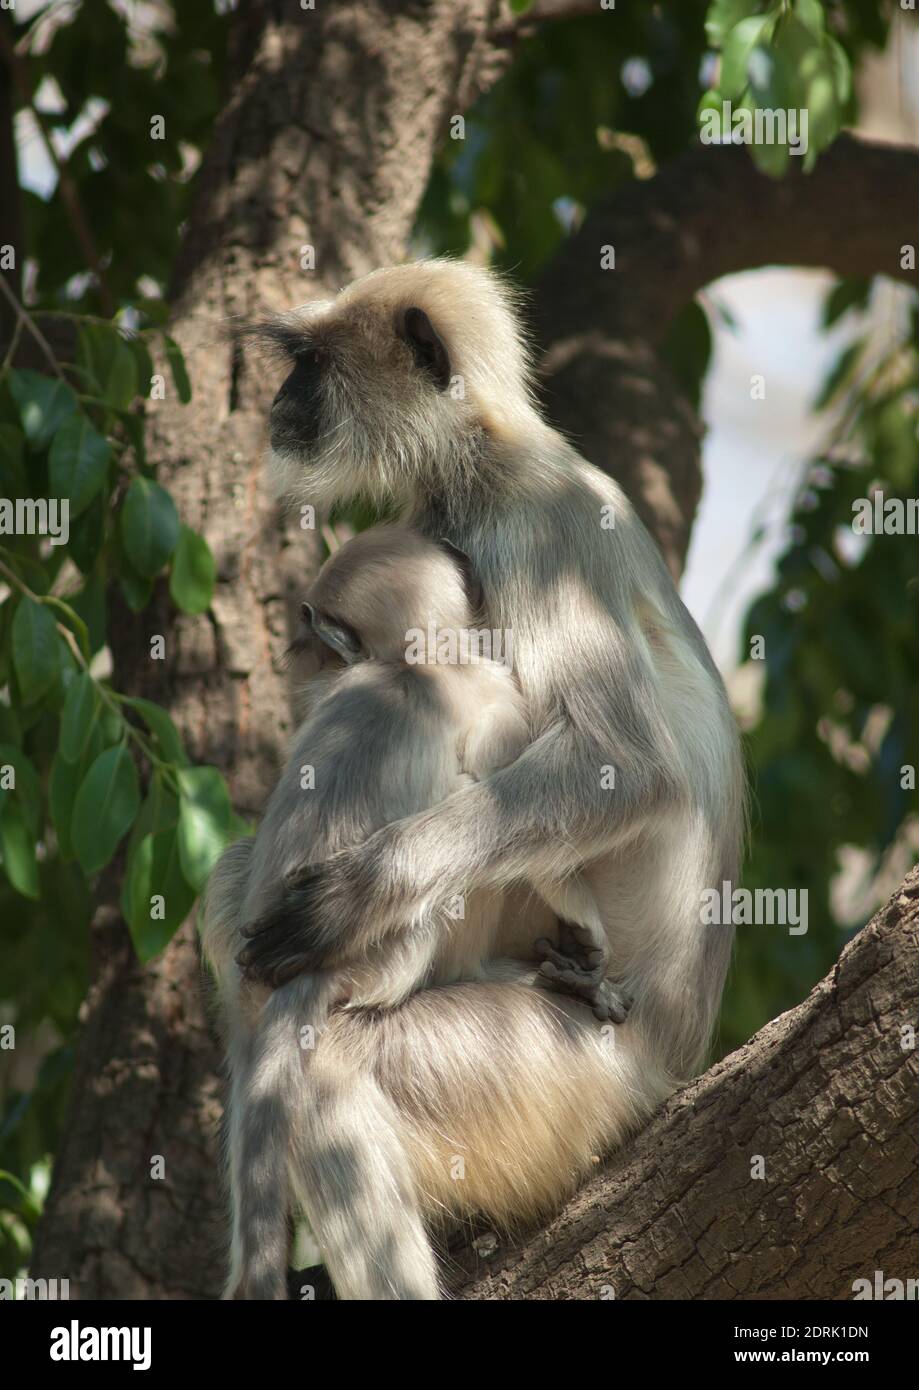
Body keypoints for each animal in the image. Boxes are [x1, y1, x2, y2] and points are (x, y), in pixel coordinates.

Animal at [205, 528, 628, 1301]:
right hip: (398, 955)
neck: (414, 667)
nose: (294, 654)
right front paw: (585, 929)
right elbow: (511, 815)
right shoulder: (497, 695)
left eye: (312, 633)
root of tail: (304, 976)